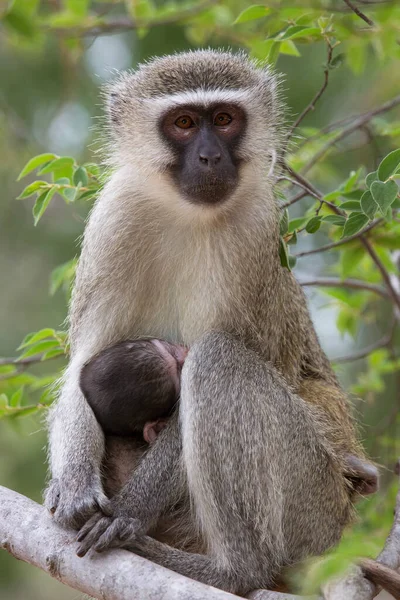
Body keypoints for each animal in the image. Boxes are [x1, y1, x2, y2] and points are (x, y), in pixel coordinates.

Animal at [45, 49, 376, 592]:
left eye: (223, 119)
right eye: (183, 123)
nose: (209, 158)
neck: (186, 214)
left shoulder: (258, 232)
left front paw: (128, 512)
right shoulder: (113, 220)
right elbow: (81, 367)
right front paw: (71, 486)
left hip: (312, 494)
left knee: (219, 358)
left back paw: (232, 571)